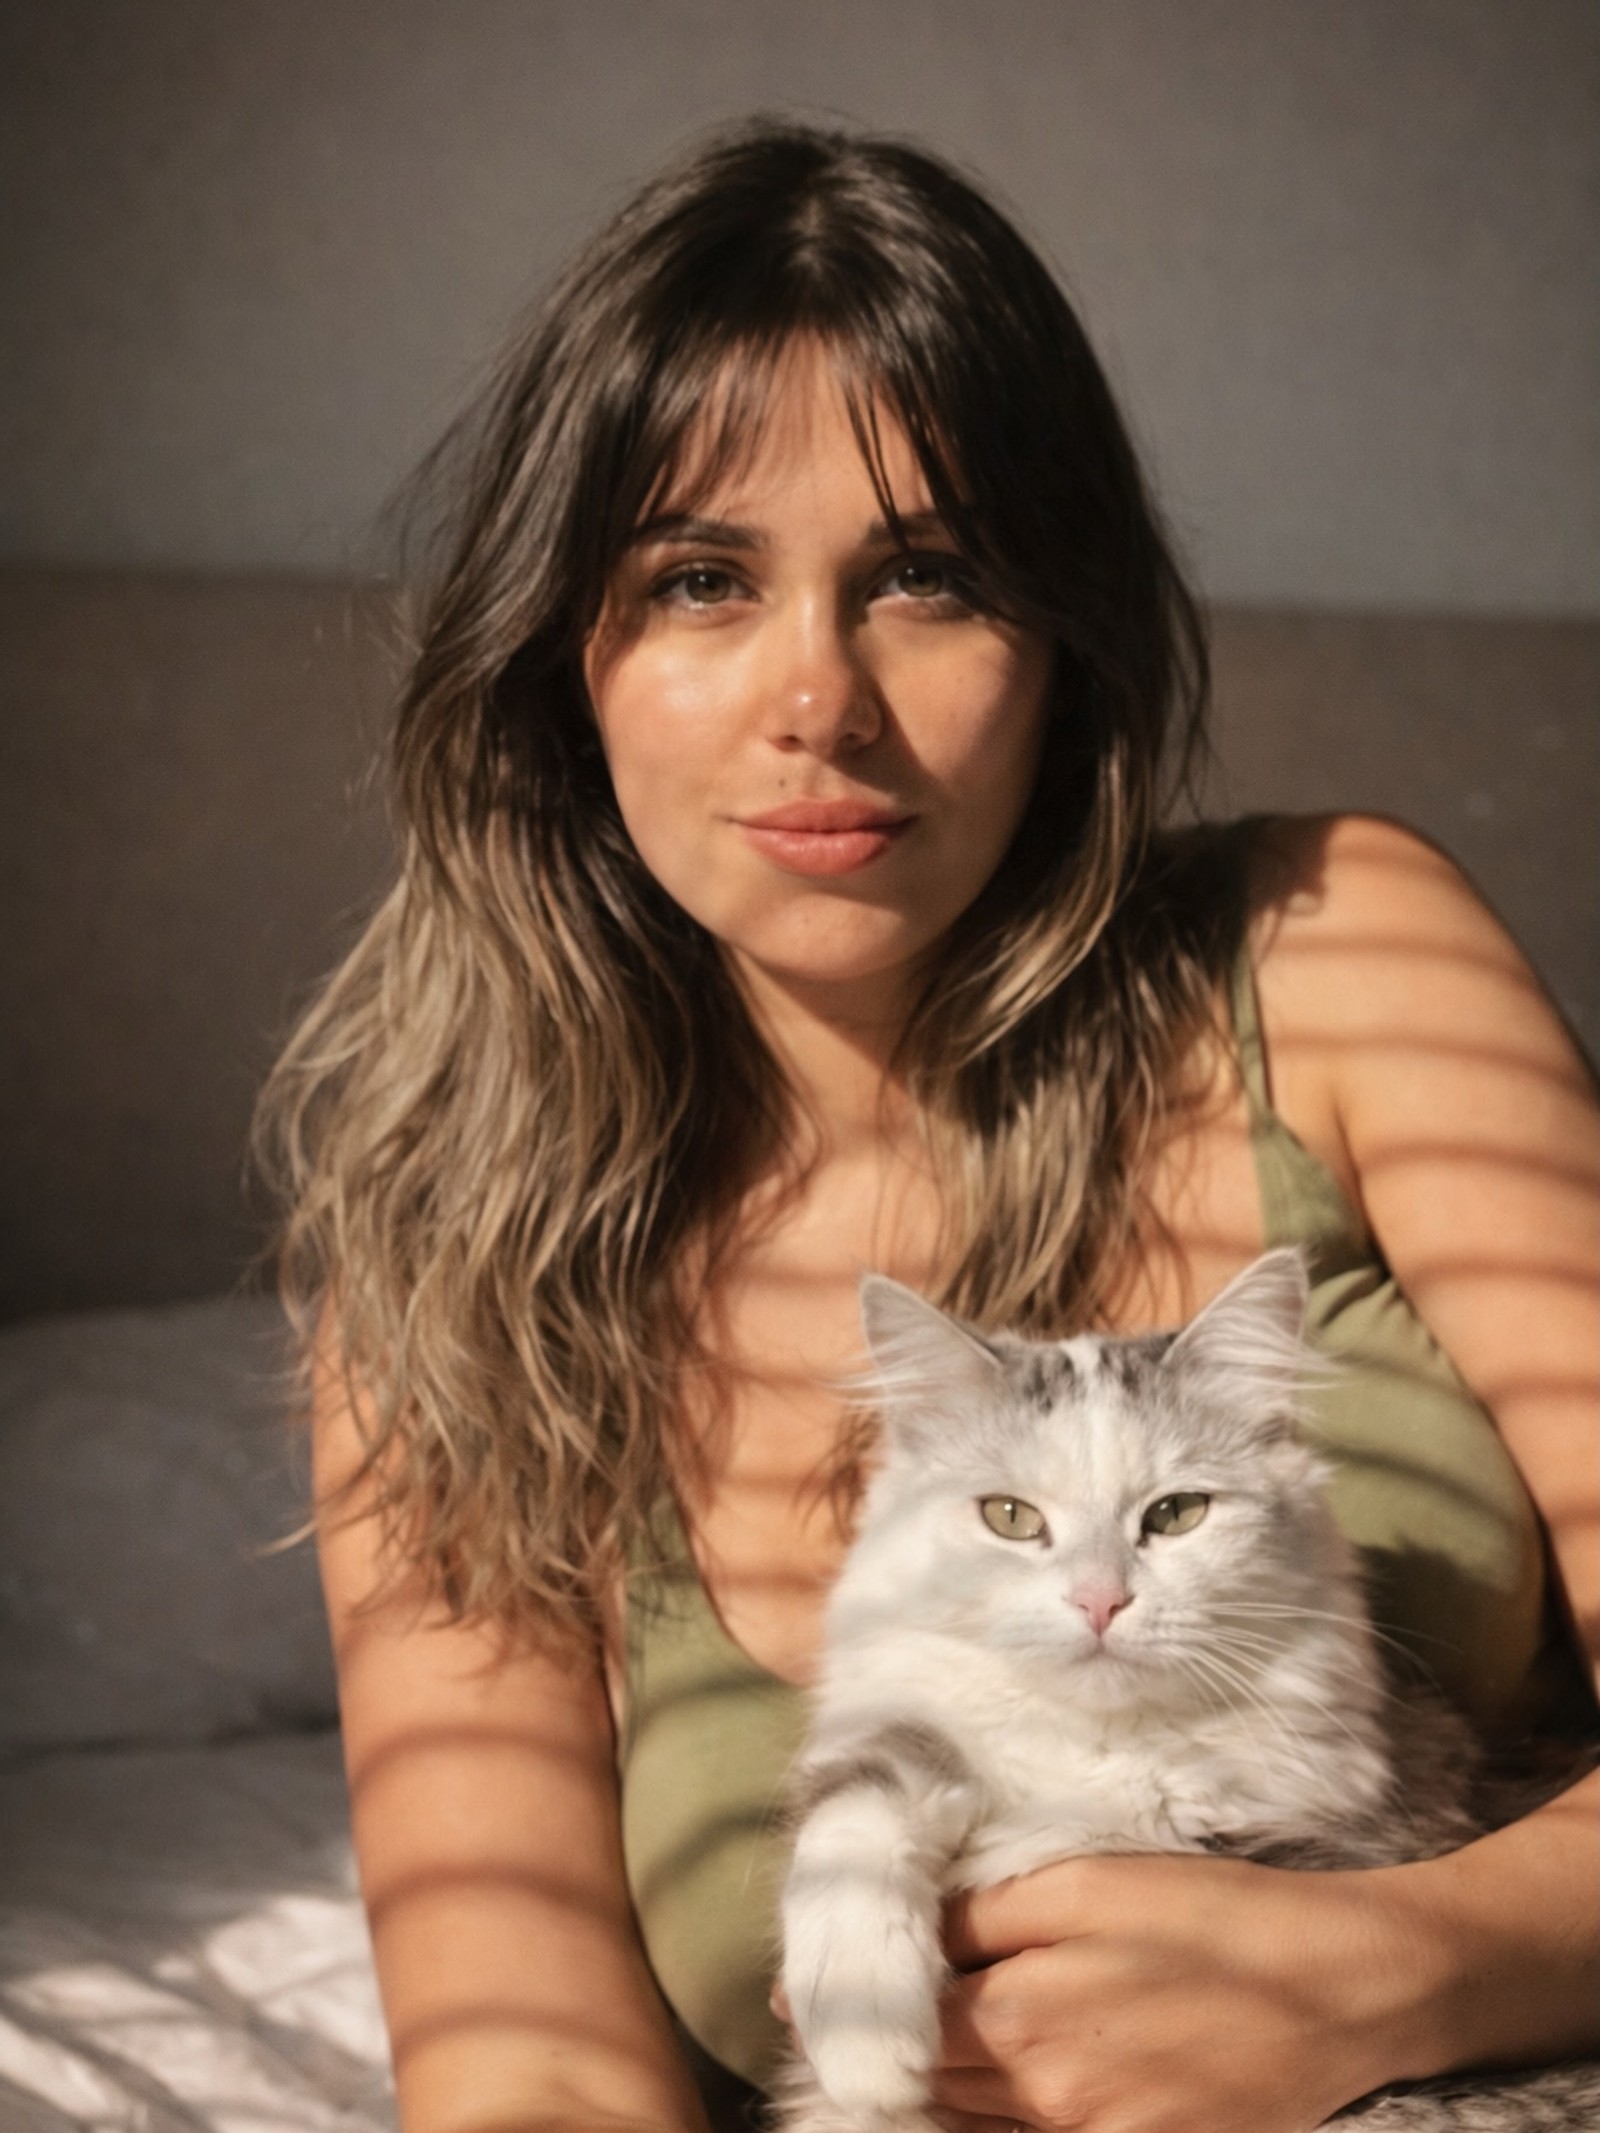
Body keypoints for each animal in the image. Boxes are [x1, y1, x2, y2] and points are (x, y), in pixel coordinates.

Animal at [776, 1248, 1598, 2132]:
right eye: (1010, 1517)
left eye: (1175, 1513)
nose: (1100, 1601)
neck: (1101, 1755)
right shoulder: (905, 1728)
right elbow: (866, 1794)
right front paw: (864, 2038)